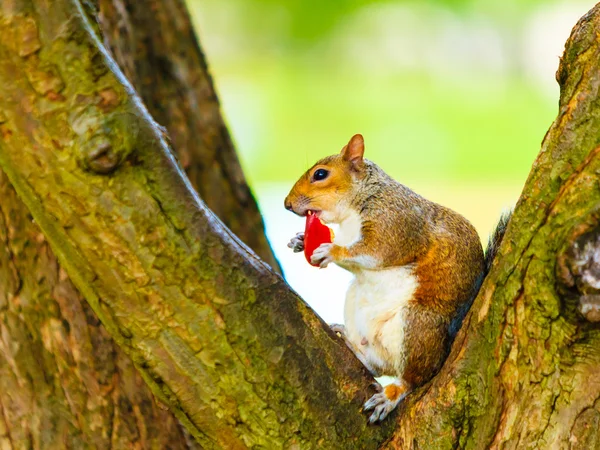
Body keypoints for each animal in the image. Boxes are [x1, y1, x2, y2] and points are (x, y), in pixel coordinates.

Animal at [284, 135, 508, 424]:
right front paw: (301, 240)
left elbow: (376, 251)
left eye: (320, 174)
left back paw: (391, 395)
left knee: (413, 377)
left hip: (416, 325)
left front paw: (331, 250)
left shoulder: (395, 224)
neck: (362, 199)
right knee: (376, 366)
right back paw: (351, 343)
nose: (287, 204)